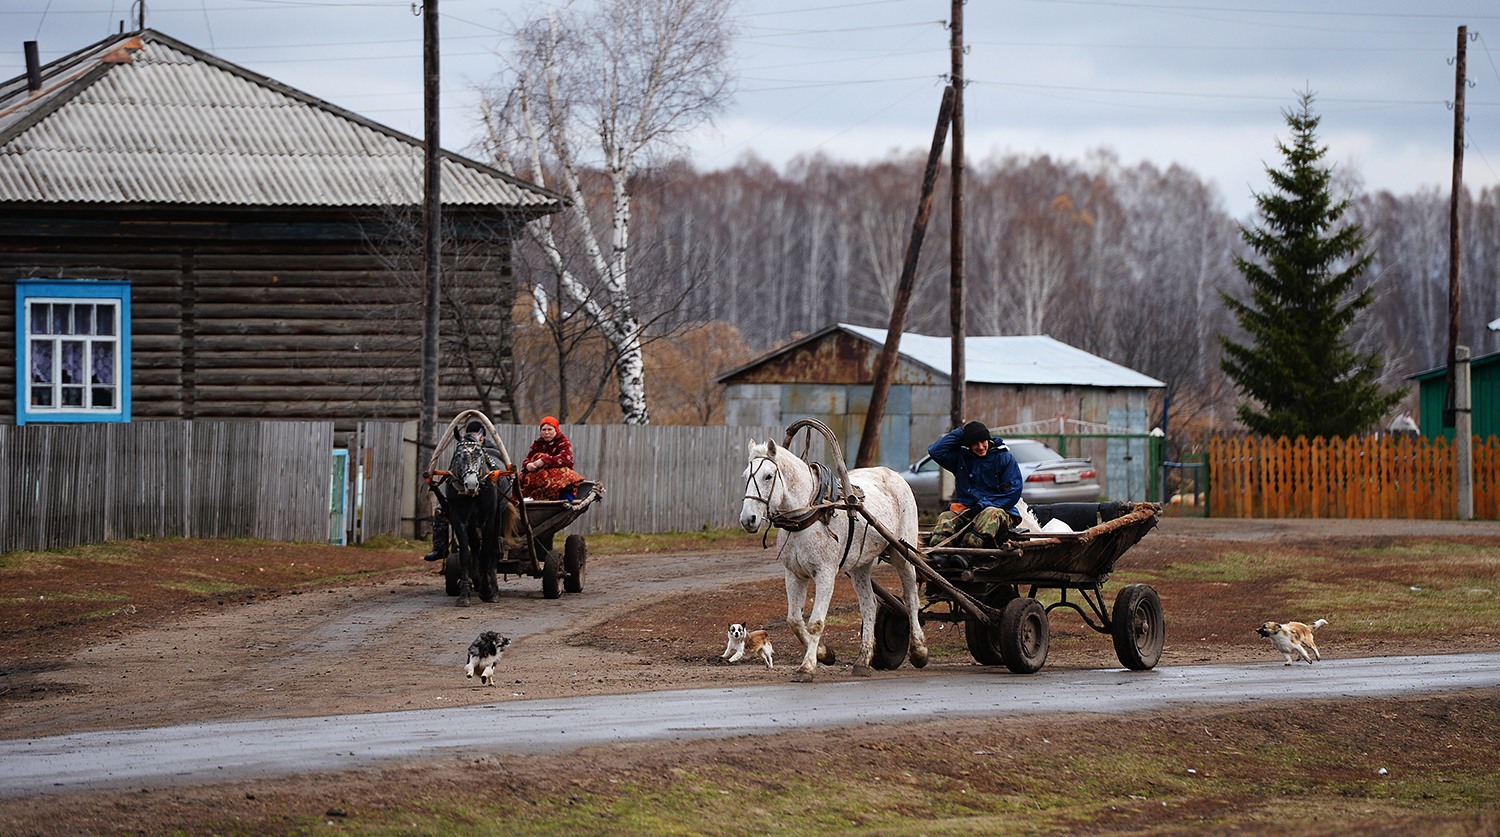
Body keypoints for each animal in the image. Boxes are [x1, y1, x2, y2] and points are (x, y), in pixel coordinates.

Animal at [738, 441, 924, 684]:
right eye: (745, 476)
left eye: (768, 476)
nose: (747, 519)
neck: (807, 515)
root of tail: (895, 475)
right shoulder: (794, 573)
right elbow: (794, 621)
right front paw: (824, 654)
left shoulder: (825, 574)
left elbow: (815, 623)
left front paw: (807, 667)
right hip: (860, 566)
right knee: (869, 606)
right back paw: (862, 661)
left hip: (902, 554)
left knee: (911, 598)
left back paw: (919, 651)